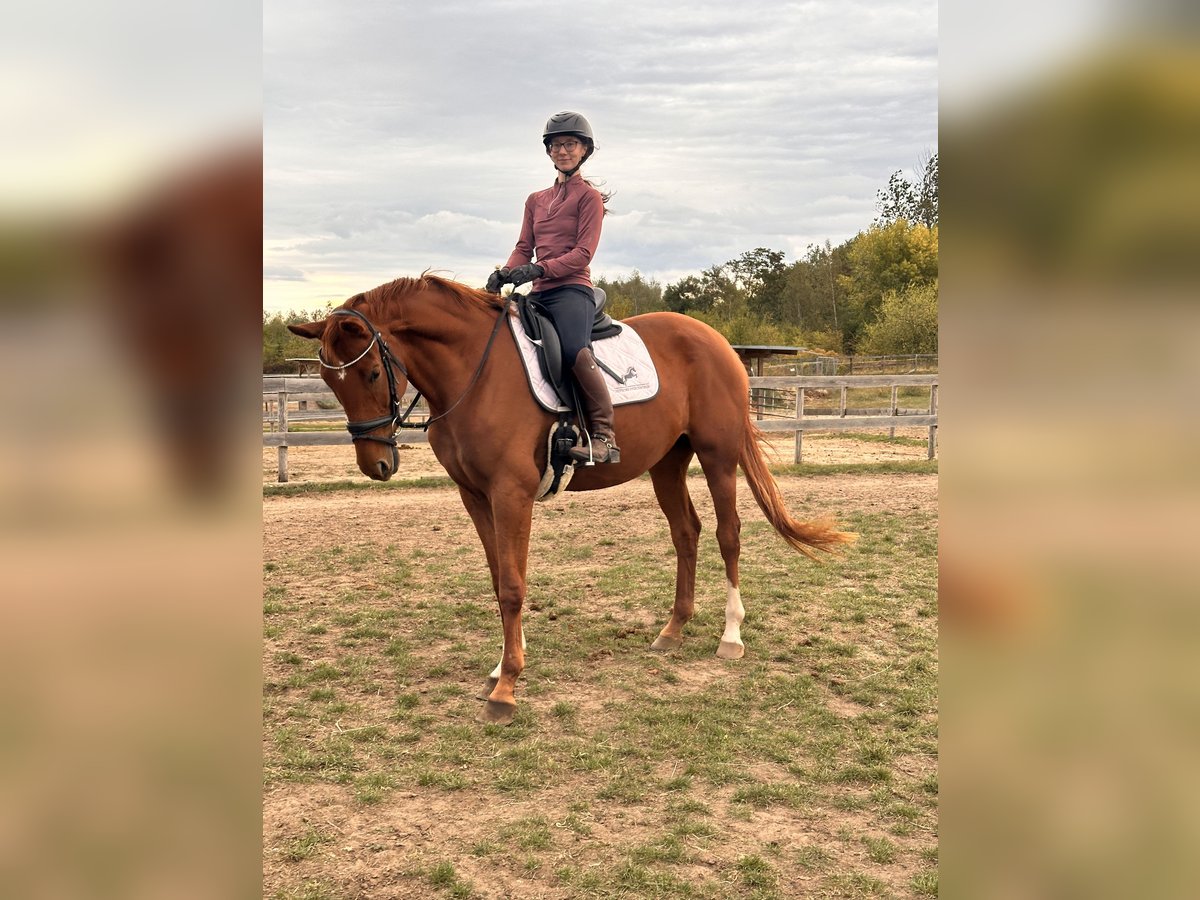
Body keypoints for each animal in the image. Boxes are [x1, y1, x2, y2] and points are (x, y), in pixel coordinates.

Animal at [288, 274, 854, 724]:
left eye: (371, 373)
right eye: (327, 381)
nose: (375, 465)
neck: (474, 372)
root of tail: (716, 340)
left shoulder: (511, 494)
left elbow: (512, 587)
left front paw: (506, 688)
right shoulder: (476, 497)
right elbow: (498, 579)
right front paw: (502, 663)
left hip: (718, 456)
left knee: (728, 535)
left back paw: (730, 637)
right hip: (667, 462)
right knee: (686, 533)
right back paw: (673, 629)